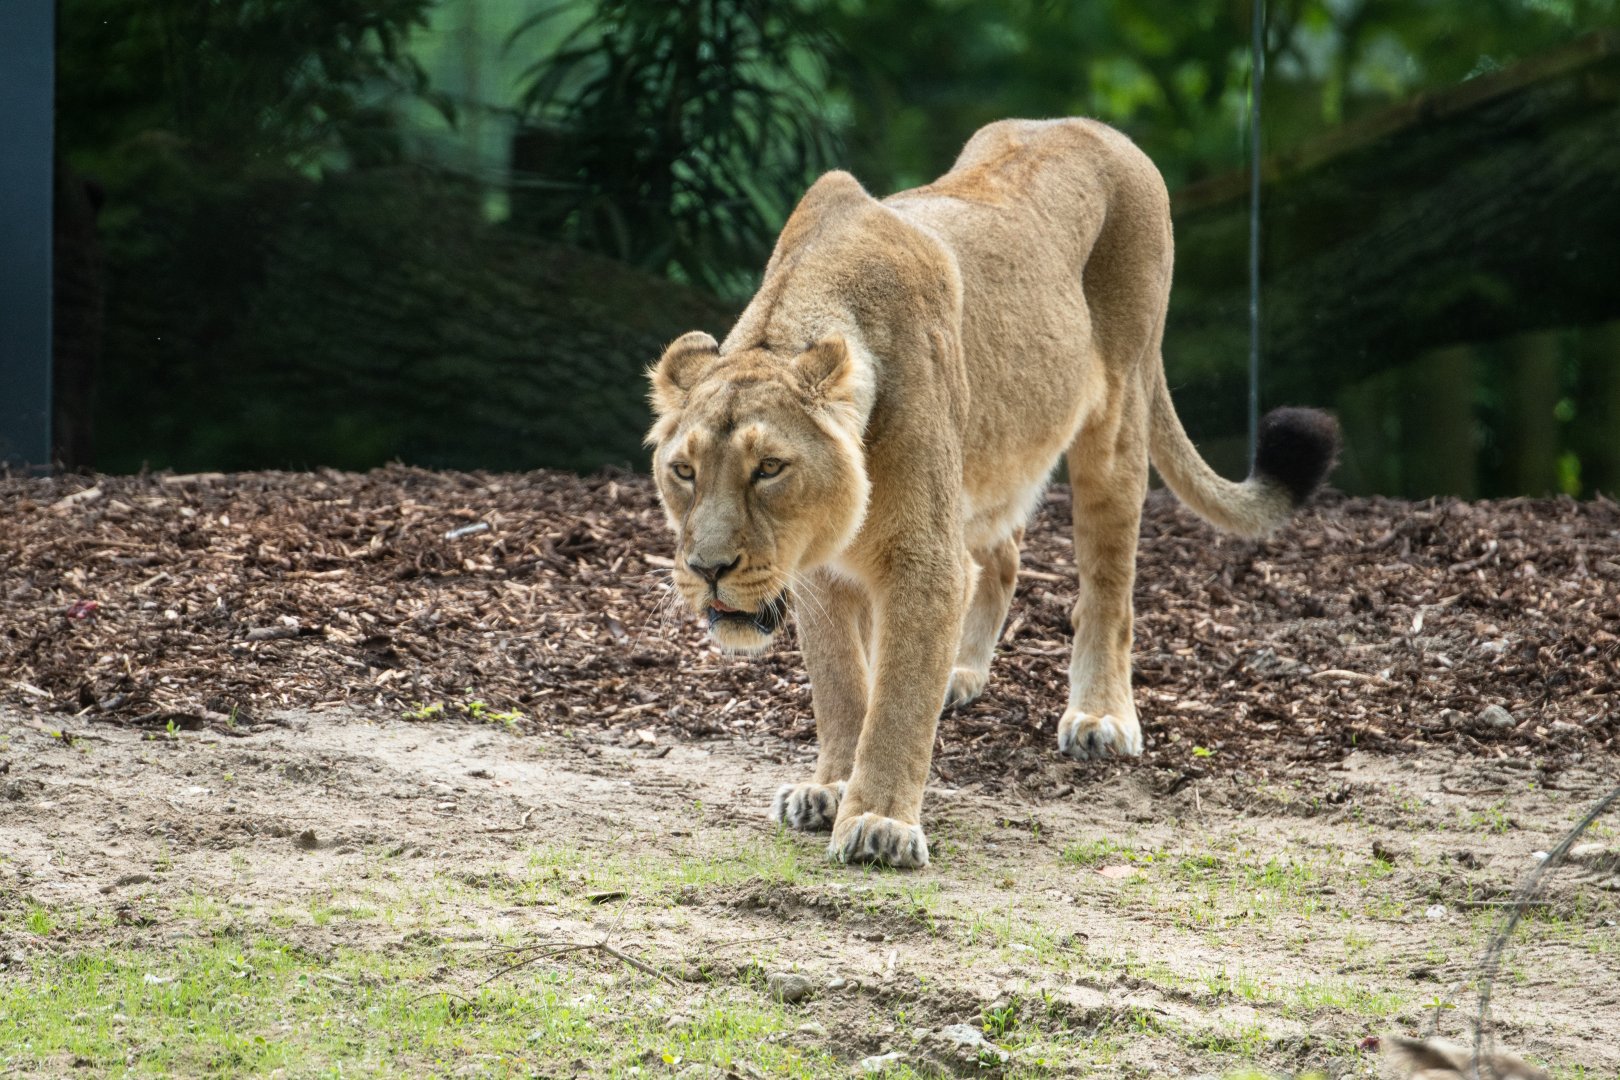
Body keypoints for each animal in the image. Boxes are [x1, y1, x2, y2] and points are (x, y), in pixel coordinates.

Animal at [645, 118, 1338, 868]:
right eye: (684, 472)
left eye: (769, 467)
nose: (707, 569)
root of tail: (1095, 127)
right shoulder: (818, 571)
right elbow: (843, 687)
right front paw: (830, 788)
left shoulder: (921, 561)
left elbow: (895, 704)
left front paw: (879, 821)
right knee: (998, 558)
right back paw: (959, 671)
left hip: (1116, 416)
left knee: (1107, 586)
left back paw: (1100, 716)